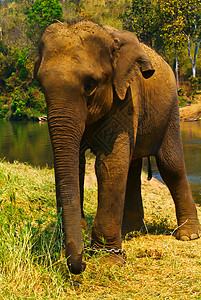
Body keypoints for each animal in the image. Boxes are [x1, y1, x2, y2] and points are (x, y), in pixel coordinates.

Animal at [33, 20, 200, 274]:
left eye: (90, 85)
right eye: (41, 86)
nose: (80, 263)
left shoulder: (127, 96)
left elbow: (108, 165)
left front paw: (107, 260)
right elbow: (77, 164)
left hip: (170, 111)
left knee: (170, 166)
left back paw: (188, 236)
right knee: (132, 167)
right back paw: (131, 231)